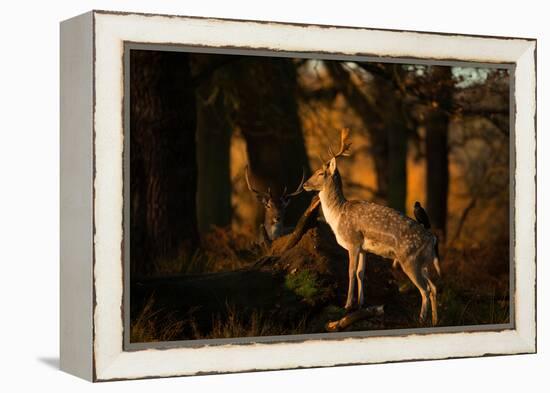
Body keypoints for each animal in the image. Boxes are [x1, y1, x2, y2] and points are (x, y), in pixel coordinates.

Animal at [304, 129, 442, 324]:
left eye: (321, 173)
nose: (305, 184)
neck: (337, 216)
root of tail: (433, 238)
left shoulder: (353, 241)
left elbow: (351, 271)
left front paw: (347, 304)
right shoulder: (364, 248)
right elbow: (361, 273)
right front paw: (361, 303)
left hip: (410, 259)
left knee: (425, 289)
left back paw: (421, 319)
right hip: (423, 261)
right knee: (434, 287)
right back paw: (435, 321)